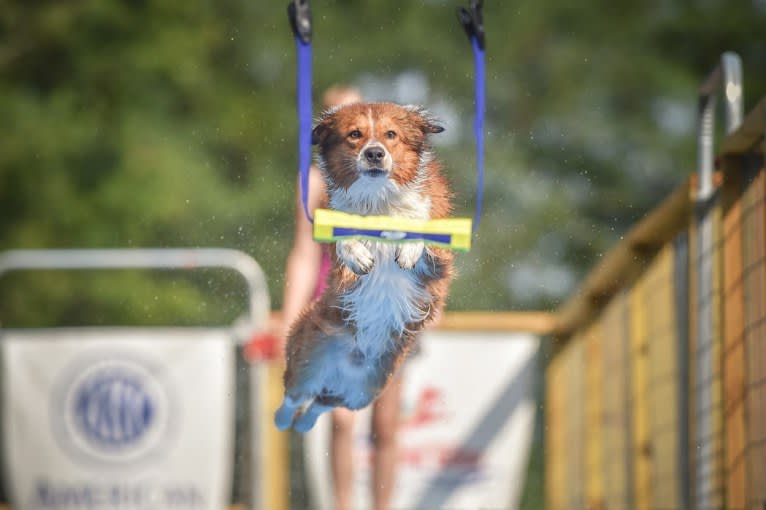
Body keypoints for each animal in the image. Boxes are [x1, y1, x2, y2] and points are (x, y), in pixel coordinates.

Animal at [278, 102, 452, 430]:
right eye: (354, 134)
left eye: (391, 135)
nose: (374, 153)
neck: (379, 199)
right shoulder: (339, 264)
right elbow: (345, 243)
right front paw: (360, 255)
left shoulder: (440, 259)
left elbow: (421, 227)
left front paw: (407, 249)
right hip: (308, 361)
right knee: (295, 397)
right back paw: (283, 420)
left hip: (365, 390)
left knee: (322, 404)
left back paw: (305, 422)